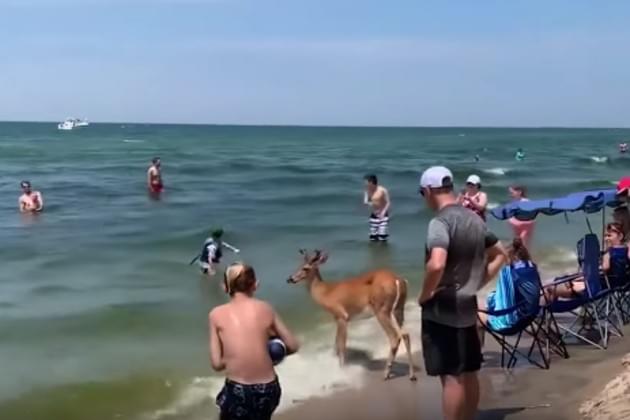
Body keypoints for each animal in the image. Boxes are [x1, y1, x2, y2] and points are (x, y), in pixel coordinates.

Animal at [288, 248, 418, 382]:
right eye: (298, 265)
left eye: (305, 268)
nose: (290, 279)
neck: (327, 293)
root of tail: (398, 280)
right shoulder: (337, 318)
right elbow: (336, 343)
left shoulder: (342, 316)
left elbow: (341, 345)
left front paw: (341, 370)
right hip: (398, 309)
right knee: (405, 334)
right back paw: (412, 375)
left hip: (382, 310)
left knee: (394, 336)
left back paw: (386, 374)